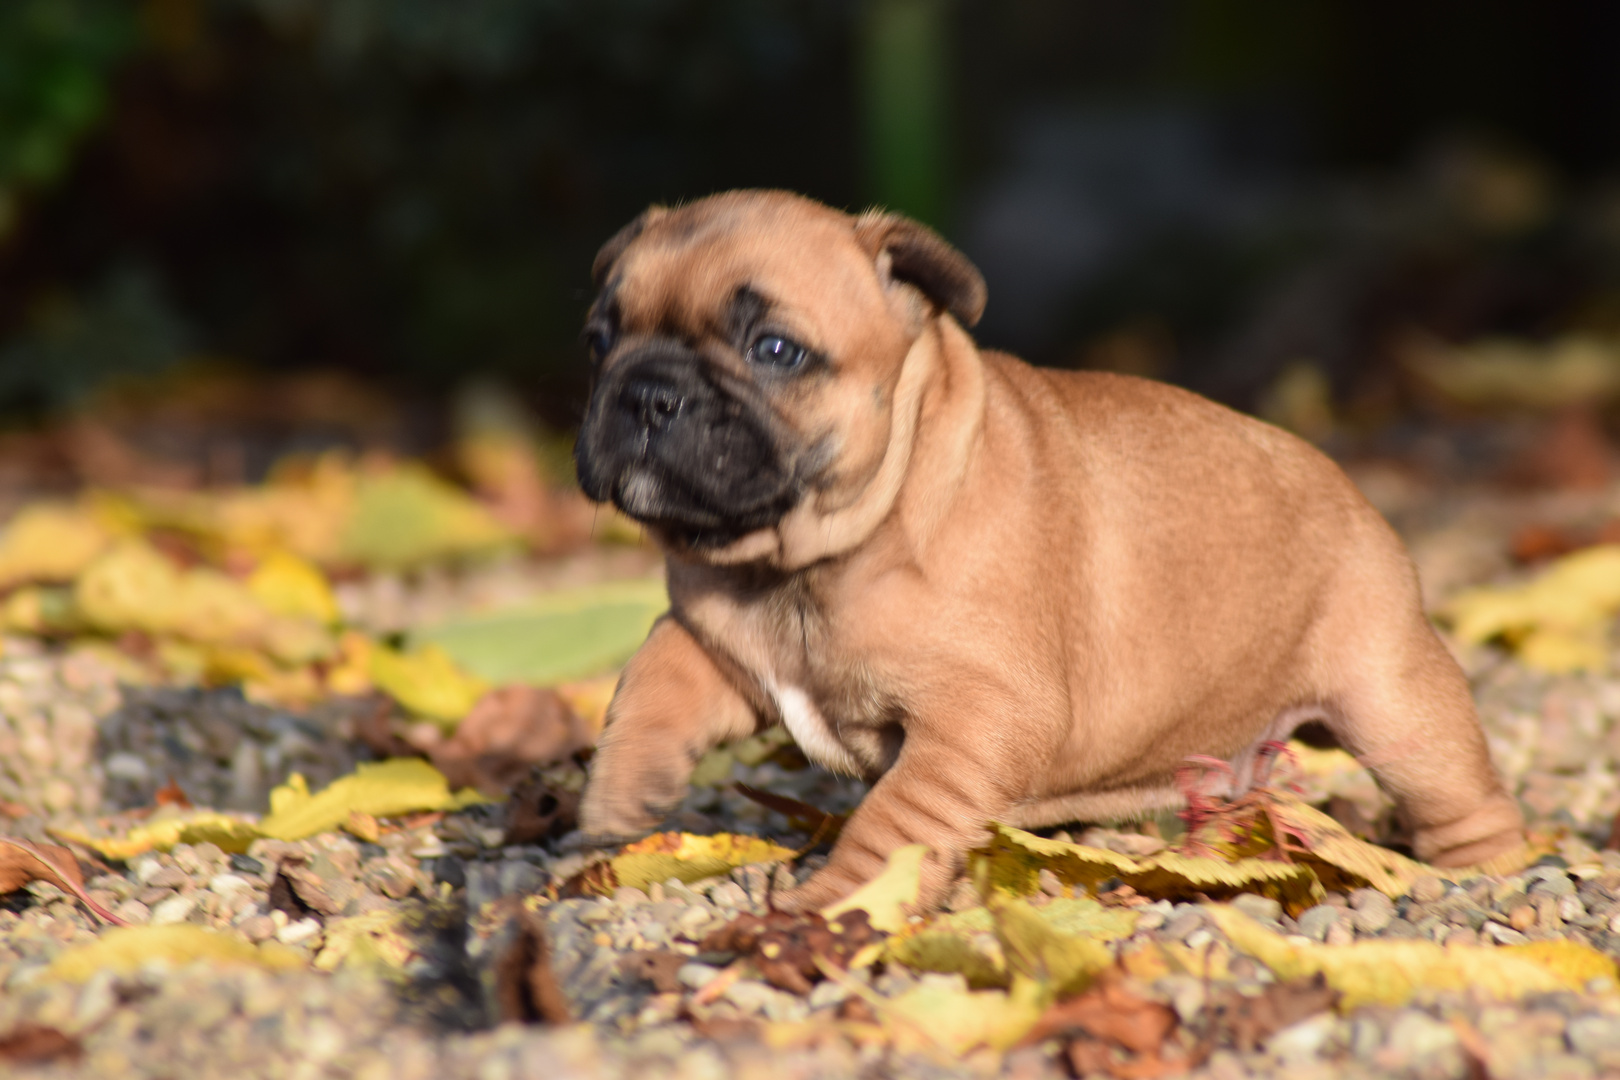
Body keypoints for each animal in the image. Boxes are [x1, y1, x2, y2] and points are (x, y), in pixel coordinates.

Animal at [573, 187, 1529, 913]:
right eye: (599, 341)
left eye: (775, 349)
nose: (647, 392)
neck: (802, 564)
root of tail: (1351, 486)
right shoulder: (719, 644)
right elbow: (651, 679)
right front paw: (622, 794)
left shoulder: (975, 721)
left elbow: (895, 823)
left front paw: (843, 903)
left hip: (1393, 698)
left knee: (1456, 790)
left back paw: (1487, 877)